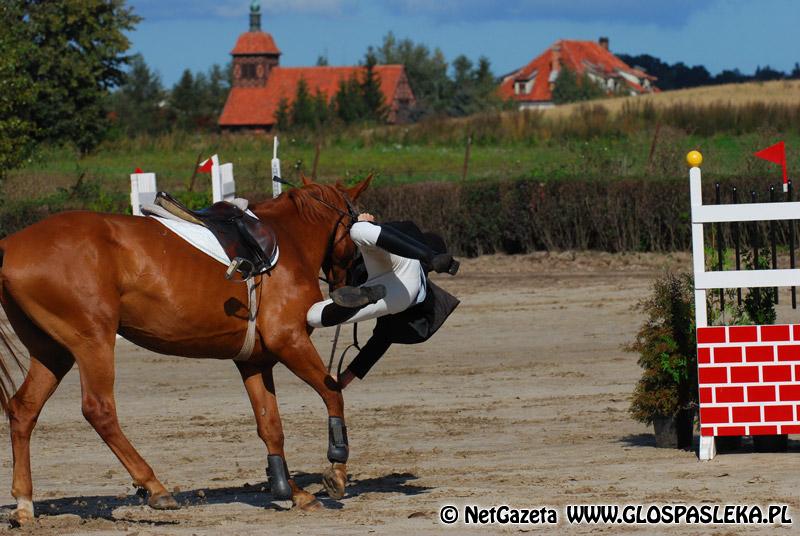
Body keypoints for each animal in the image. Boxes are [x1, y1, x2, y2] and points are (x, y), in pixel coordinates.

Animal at [0, 175, 371, 525]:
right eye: (357, 235)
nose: (349, 284)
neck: (288, 239)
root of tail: (11, 242)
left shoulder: (255, 361)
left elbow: (270, 427)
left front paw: (293, 492)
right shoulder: (290, 341)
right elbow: (332, 394)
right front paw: (336, 471)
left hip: (53, 352)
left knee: (23, 409)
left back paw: (24, 504)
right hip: (93, 342)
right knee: (98, 410)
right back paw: (154, 487)